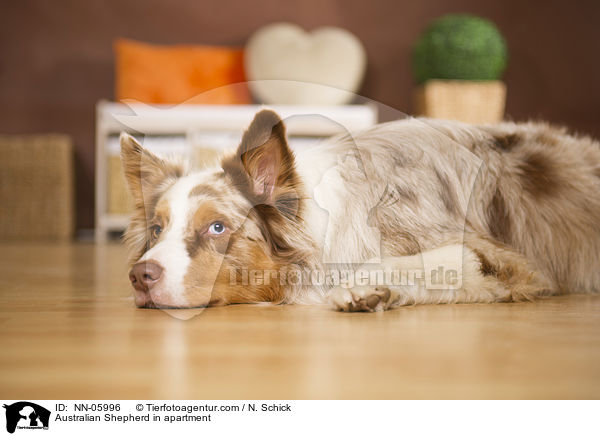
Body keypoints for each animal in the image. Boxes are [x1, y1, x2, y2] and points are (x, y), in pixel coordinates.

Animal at [122, 110, 600, 312]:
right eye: (157, 229)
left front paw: (363, 288)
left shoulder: (514, 265)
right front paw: (376, 294)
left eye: (217, 227)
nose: (140, 276)